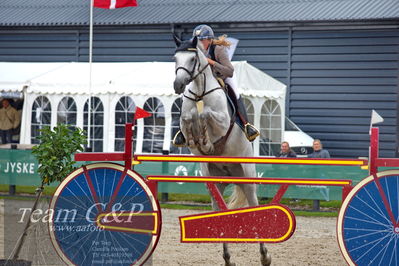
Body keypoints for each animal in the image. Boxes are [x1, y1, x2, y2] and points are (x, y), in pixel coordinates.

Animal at [173, 37, 272, 266]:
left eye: (192, 59)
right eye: (175, 58)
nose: (178, 85)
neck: (200, 91)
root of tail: (231, 175)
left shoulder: (222, 121)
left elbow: (205, 115)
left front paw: (206, 141)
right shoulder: (186, 119)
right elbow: (188, 118)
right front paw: (198, 139)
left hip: (248, 177)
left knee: (254, 207)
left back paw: (265, 256)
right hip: (214, 182)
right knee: (219, 211)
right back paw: (228, 259)